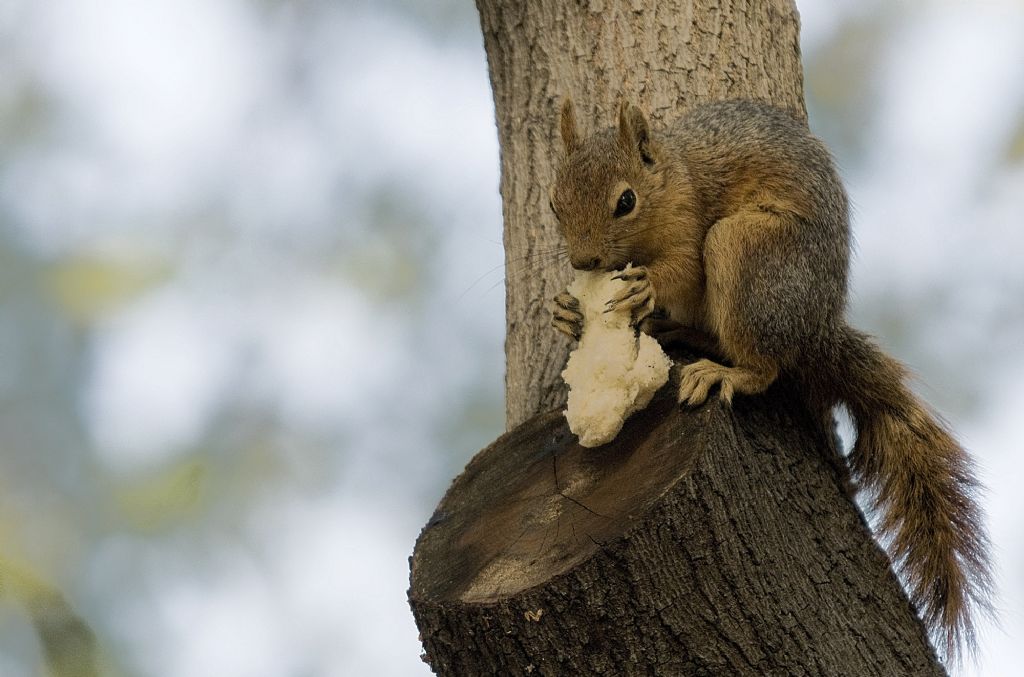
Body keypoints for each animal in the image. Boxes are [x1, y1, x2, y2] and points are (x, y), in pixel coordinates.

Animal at [552, 98, 991, 659]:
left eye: (625, 201)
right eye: (553, 203)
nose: (583, 261)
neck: (673, 176)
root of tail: (815, 332)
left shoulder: (690, 220)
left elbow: (683, 271)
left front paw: (646, 286)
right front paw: (566, 311)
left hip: (745, 251)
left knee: (765, 367)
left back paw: (723, 373)